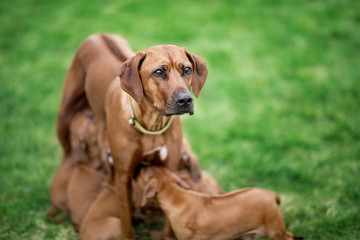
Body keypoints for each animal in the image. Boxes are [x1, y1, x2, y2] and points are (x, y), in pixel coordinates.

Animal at [56, 33, 208, 238]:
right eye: (158, 72)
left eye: (187, 69)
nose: (185, 100)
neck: (152, 124)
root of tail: (99, 35)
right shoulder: (123, 177)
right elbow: (126, 219)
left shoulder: (170, 168)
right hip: (64, 114)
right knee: (66, 152)